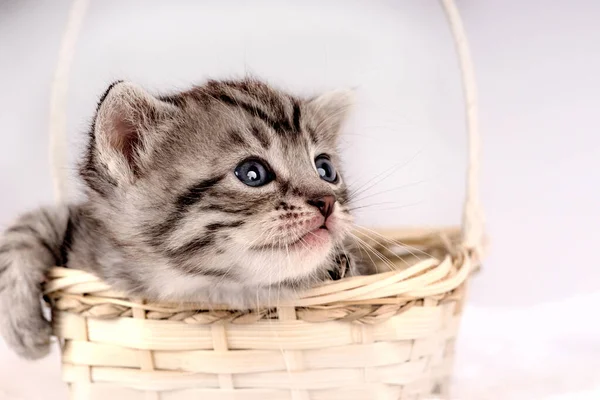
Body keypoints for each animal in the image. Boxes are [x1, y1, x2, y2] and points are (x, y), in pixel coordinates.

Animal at [0, 78, 366, 360]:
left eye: (325, 169)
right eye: (252, 173)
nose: (328, 201)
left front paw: (338, 266)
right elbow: (27, 228)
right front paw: (22, 325)